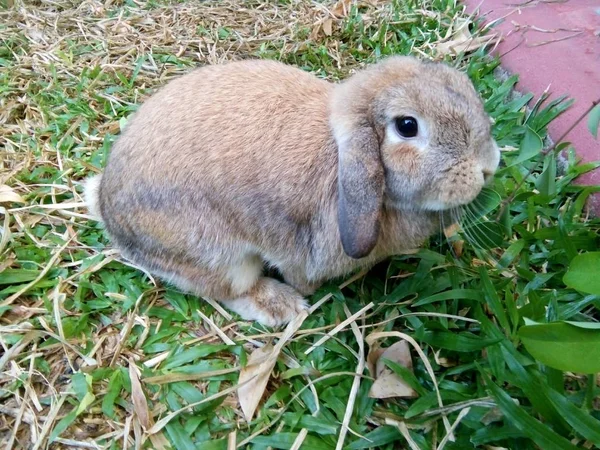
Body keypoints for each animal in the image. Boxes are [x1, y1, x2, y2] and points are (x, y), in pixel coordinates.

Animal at [83, 56, 496, 326]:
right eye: (407, 126)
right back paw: (281, 307)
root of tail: (108, 211)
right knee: (229, 289)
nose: (489, 166)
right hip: (216, 254)